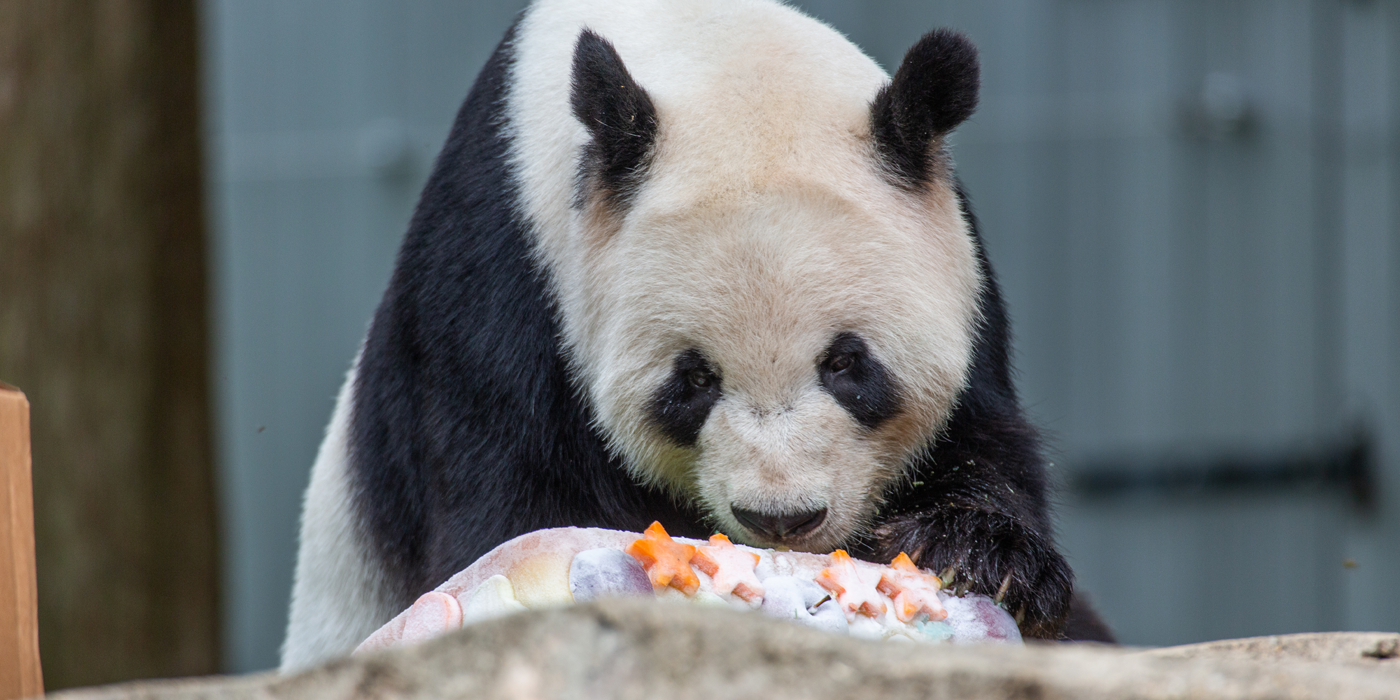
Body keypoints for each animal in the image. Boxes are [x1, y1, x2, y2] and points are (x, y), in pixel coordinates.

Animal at [278, 0, 1108, 669]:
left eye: (848, 364)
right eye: (693, 380)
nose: (781, 519)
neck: (707, 46)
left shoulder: (965, 284)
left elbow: (987, 443)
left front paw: (979, 556)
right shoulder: (498, 297)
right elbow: (510, 505)